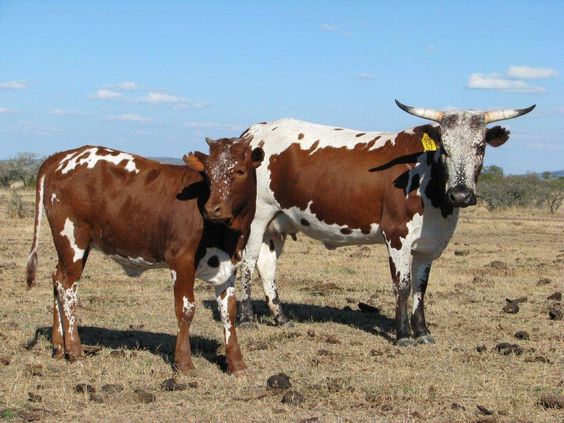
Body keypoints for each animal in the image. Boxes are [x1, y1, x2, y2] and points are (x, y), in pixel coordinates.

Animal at [25, 137, 264, 376]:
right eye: (208, 173)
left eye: (240, 171)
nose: (213, 209)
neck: (227, 235)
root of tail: (61, 156)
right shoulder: (181, 261)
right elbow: (185, 310)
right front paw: (184, 362)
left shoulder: (229, 266)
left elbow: (228, 312)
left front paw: (237, 364)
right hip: (73, 240)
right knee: (68, 288)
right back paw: (75, 352)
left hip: (75, 247)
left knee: (58, 279)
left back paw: (59, 347)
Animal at [237, 101, 532, 346]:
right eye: (445, 150)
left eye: (480, 147)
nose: (460, 194)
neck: (428, 181)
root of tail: (254, 132)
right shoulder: (397, 236)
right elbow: (403, 286)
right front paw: (403, 335)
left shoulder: (429, 244)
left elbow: (421, 287)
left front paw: (422, 331)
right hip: (256, 218)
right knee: (248, 263)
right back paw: (246, 319)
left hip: (276, 223)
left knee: (267, 266)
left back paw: (281, 318)